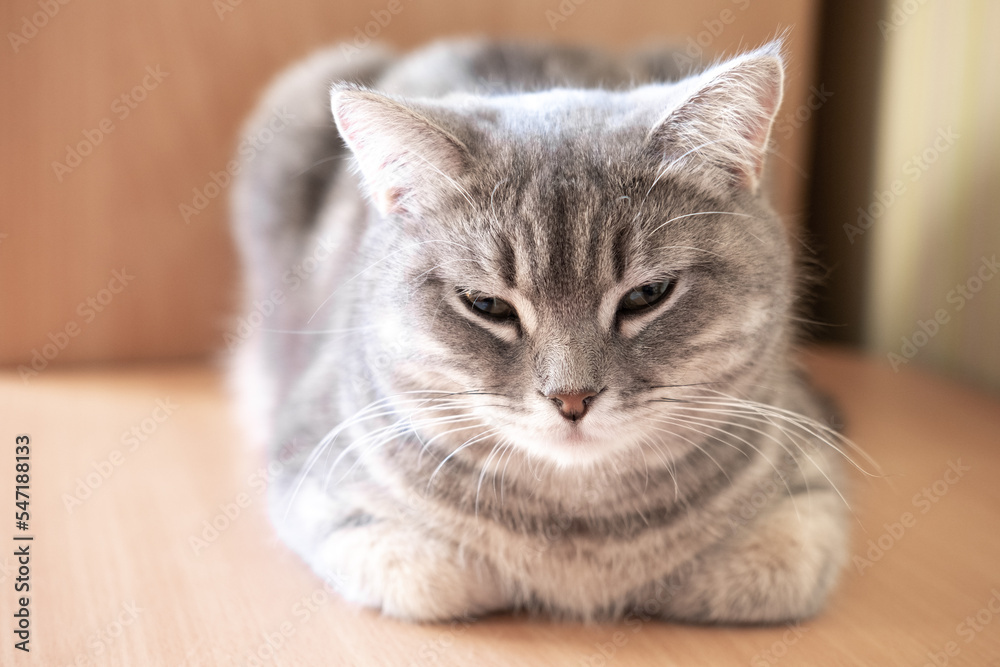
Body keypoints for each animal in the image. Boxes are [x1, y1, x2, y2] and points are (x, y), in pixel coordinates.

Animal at [229, 39, 860, 628]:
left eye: (647, 295)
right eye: (486, 305)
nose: (572, 398)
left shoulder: (808, 488)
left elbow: (769, 571)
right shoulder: (317, 478)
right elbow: (431, 578)